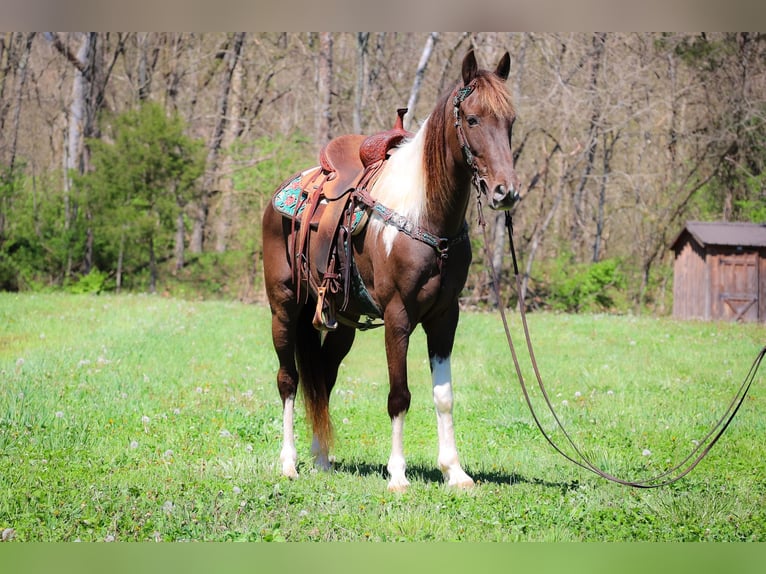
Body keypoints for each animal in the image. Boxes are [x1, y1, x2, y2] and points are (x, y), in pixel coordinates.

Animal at [260, 49, 520, 492]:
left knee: (323, 378)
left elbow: (443, 396)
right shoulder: (399, 316)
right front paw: (397, 474)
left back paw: (322, 458)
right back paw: (289, 462)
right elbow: (399, 395)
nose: (506, 192)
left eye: (510, 122)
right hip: (284, 308)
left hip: (342, 321)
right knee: (289, 380)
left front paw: (455, 471)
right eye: (472, 119)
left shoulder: (445, 317)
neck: (424, 214)